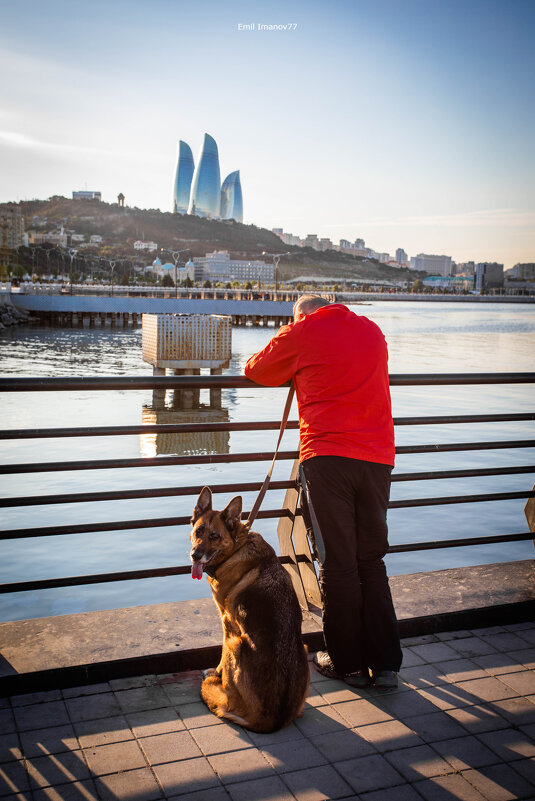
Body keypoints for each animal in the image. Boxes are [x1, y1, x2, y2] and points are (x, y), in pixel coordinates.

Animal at [191, 484, 310, 736]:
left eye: (214, 536)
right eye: (198, 531)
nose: (195, 555)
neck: (237, 546)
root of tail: (271, 722)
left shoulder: (226, 623)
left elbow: (220, 658)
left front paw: (216, 673)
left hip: (235, 643)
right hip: (304, 648)